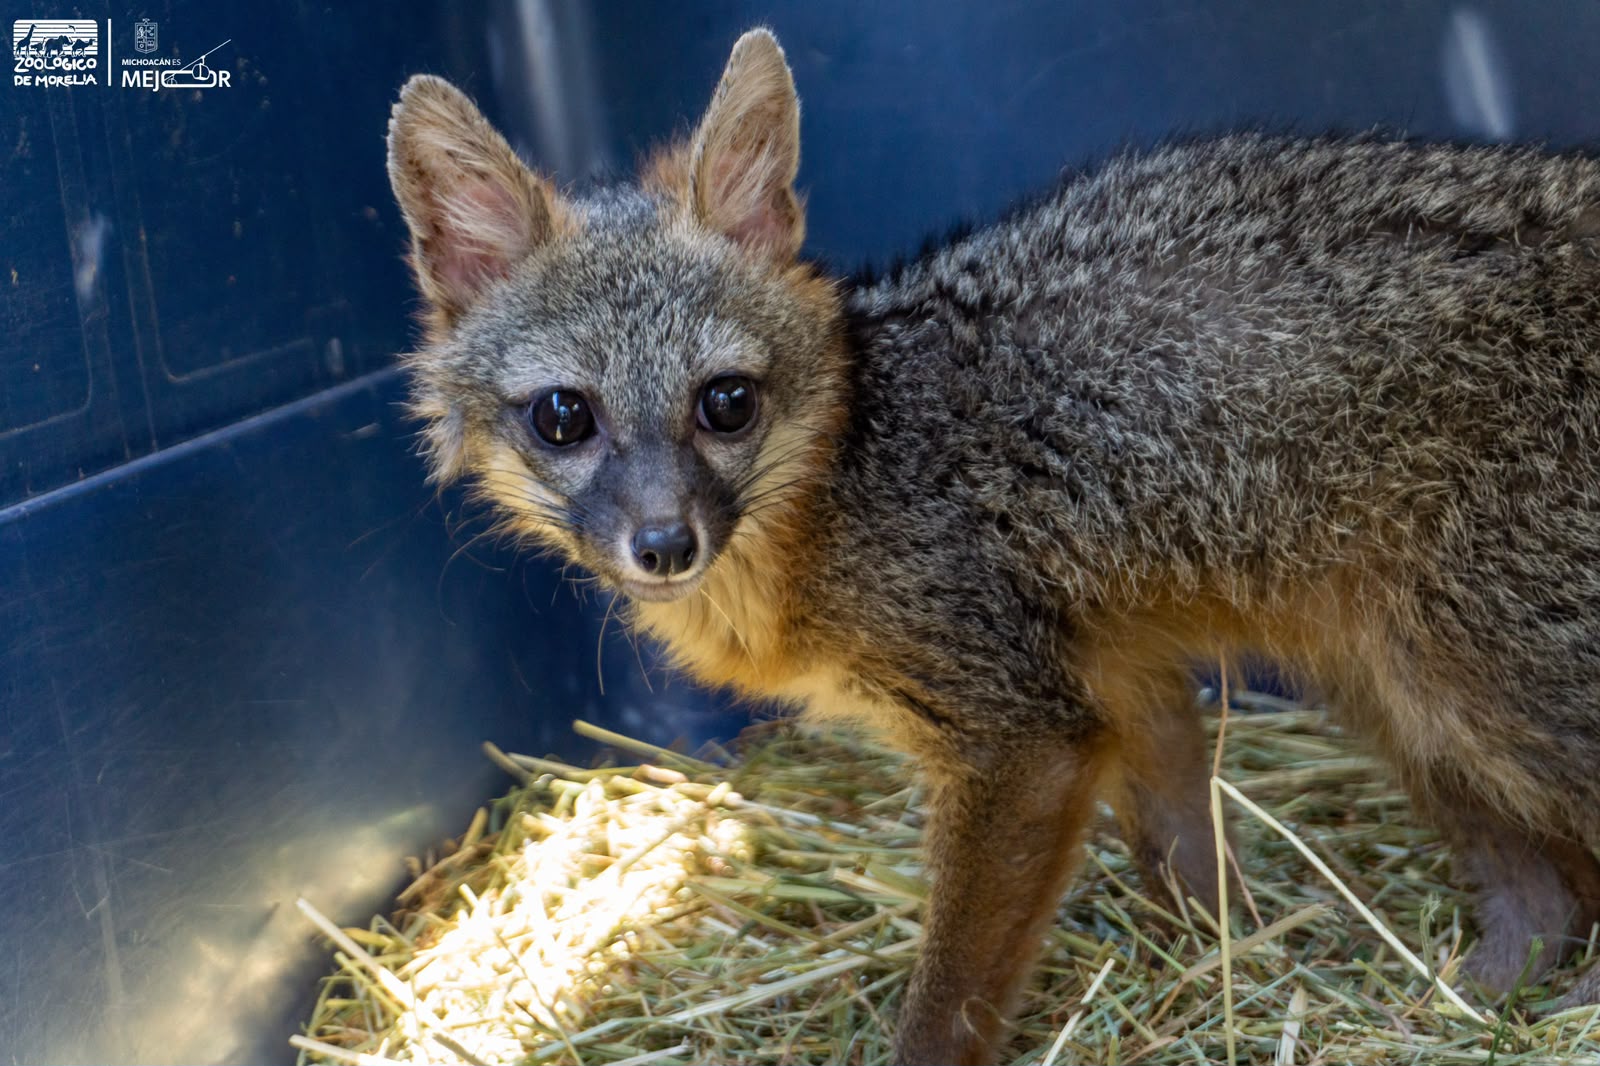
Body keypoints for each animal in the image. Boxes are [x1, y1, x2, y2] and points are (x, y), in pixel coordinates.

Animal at [386, 28, 1600, 1066]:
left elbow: (951, 994)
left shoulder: (1023, 739)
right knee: (1544, 902)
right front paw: (1216, 975)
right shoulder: (1123, 678)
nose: (663, 543)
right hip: (1403, 694)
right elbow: (1188, 857)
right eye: (564, 418)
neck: (848, 476)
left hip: (1483, 691)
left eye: (724, 402)